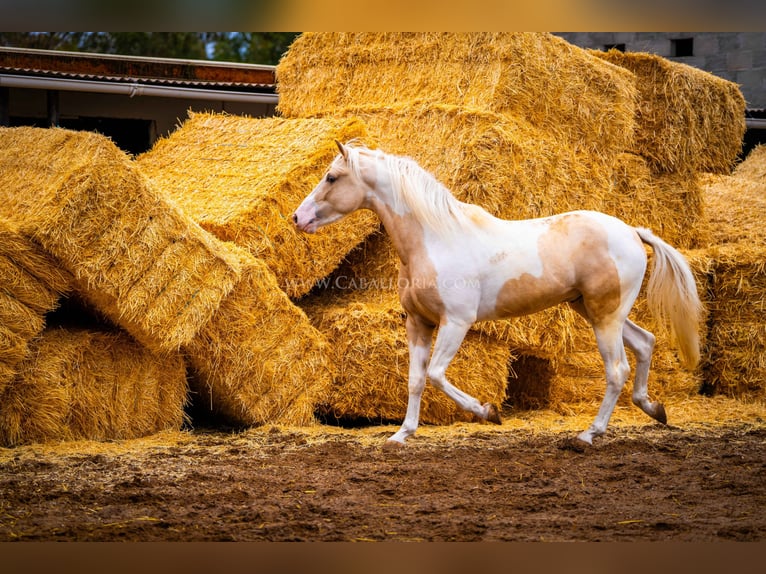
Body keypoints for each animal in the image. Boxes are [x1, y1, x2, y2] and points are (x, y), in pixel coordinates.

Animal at [294, 142, 708, 448]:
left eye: (332, 177)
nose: (298, 218)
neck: (434, 240)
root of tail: (633, 232)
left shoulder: (456, 322)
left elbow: (437, 374)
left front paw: (489, 412)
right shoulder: (418, 323)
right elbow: (415, 379)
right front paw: (402, 434)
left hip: (605, 316)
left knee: (617, 369)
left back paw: (589, 435)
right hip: (597, 311)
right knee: (646, 343)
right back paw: (654, 409)